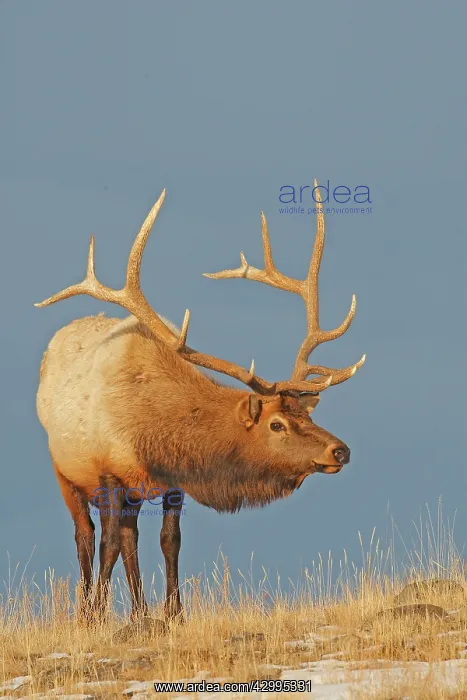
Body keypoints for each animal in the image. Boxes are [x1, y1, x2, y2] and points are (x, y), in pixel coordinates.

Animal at [35, 181, 365, 624]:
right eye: (276, 423)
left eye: (304, 413)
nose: (340, 450)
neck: (151, 430)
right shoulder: (107, 472)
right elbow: (106, 544)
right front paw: (97, 616)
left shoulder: (175, 481)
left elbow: (168, 540)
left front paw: (174, 613)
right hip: (65, 471)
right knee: (86, 536)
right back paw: (89, 609)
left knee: (129, 537)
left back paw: (140, 611)